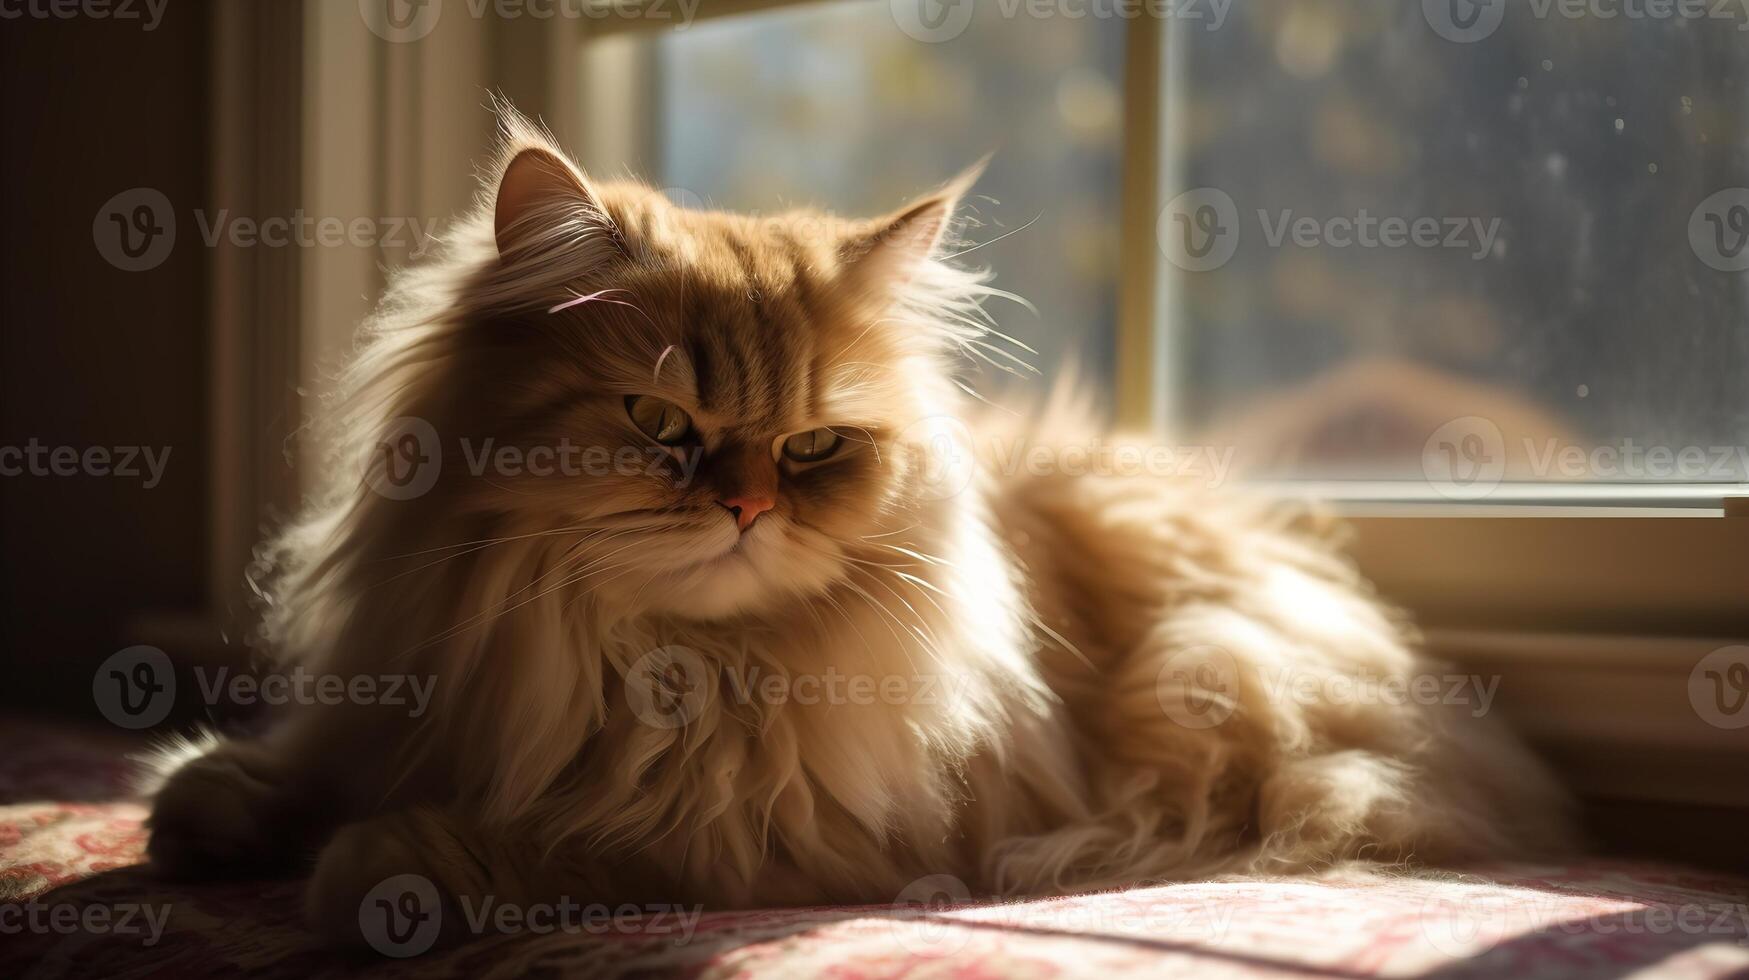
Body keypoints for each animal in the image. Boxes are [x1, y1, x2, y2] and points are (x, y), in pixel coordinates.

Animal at [146, 111, 1574, 945]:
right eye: (657, 420)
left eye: (814, 447)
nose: (745, 502)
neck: (647, 660)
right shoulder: (419, 690)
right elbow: (308, 760)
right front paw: (209, 803)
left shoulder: (758, 837)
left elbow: (562, 838)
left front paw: (376, 868)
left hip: (1210, 673)